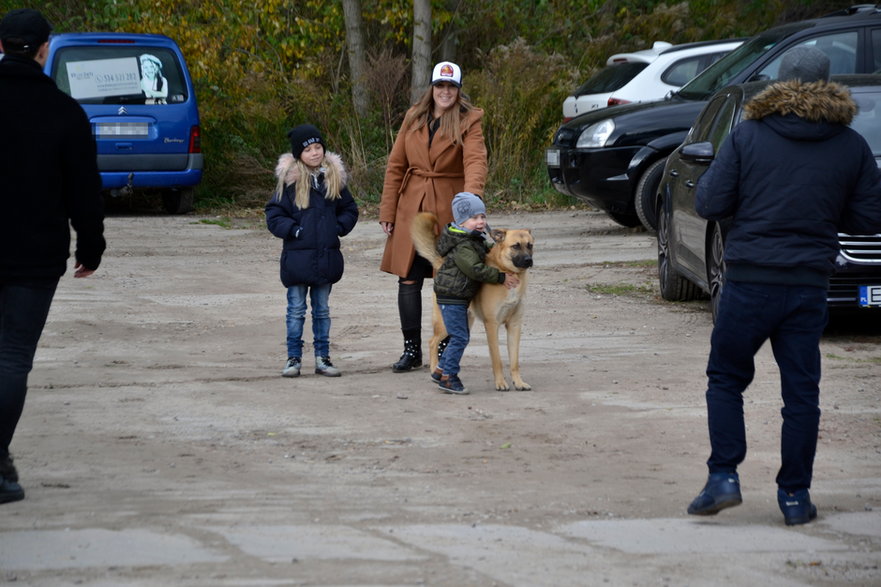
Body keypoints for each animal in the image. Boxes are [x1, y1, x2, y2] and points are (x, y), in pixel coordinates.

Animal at [410, 211, 532, 390]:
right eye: (515, 246)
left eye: (530, 245)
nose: (529, 260)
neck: (507, 270)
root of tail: (442, 262)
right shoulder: (492, 325)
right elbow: (497, 360)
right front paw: (500, 382)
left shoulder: (514, 325)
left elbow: (514, 361)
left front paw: (518, 382)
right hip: (445, 324)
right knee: (432, 342)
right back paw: (434, 371)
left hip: (464, 325)